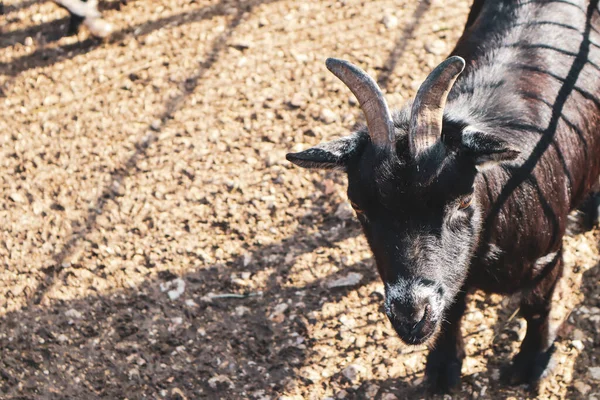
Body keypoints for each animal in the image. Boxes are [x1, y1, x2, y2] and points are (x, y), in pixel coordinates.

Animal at [284, 0, 600, 394]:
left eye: (463, 200)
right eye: (359, 206)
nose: (411, 317)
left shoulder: (549, 257)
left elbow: (536, 307)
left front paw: (532, 364)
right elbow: (455, 305)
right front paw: (442, 366)